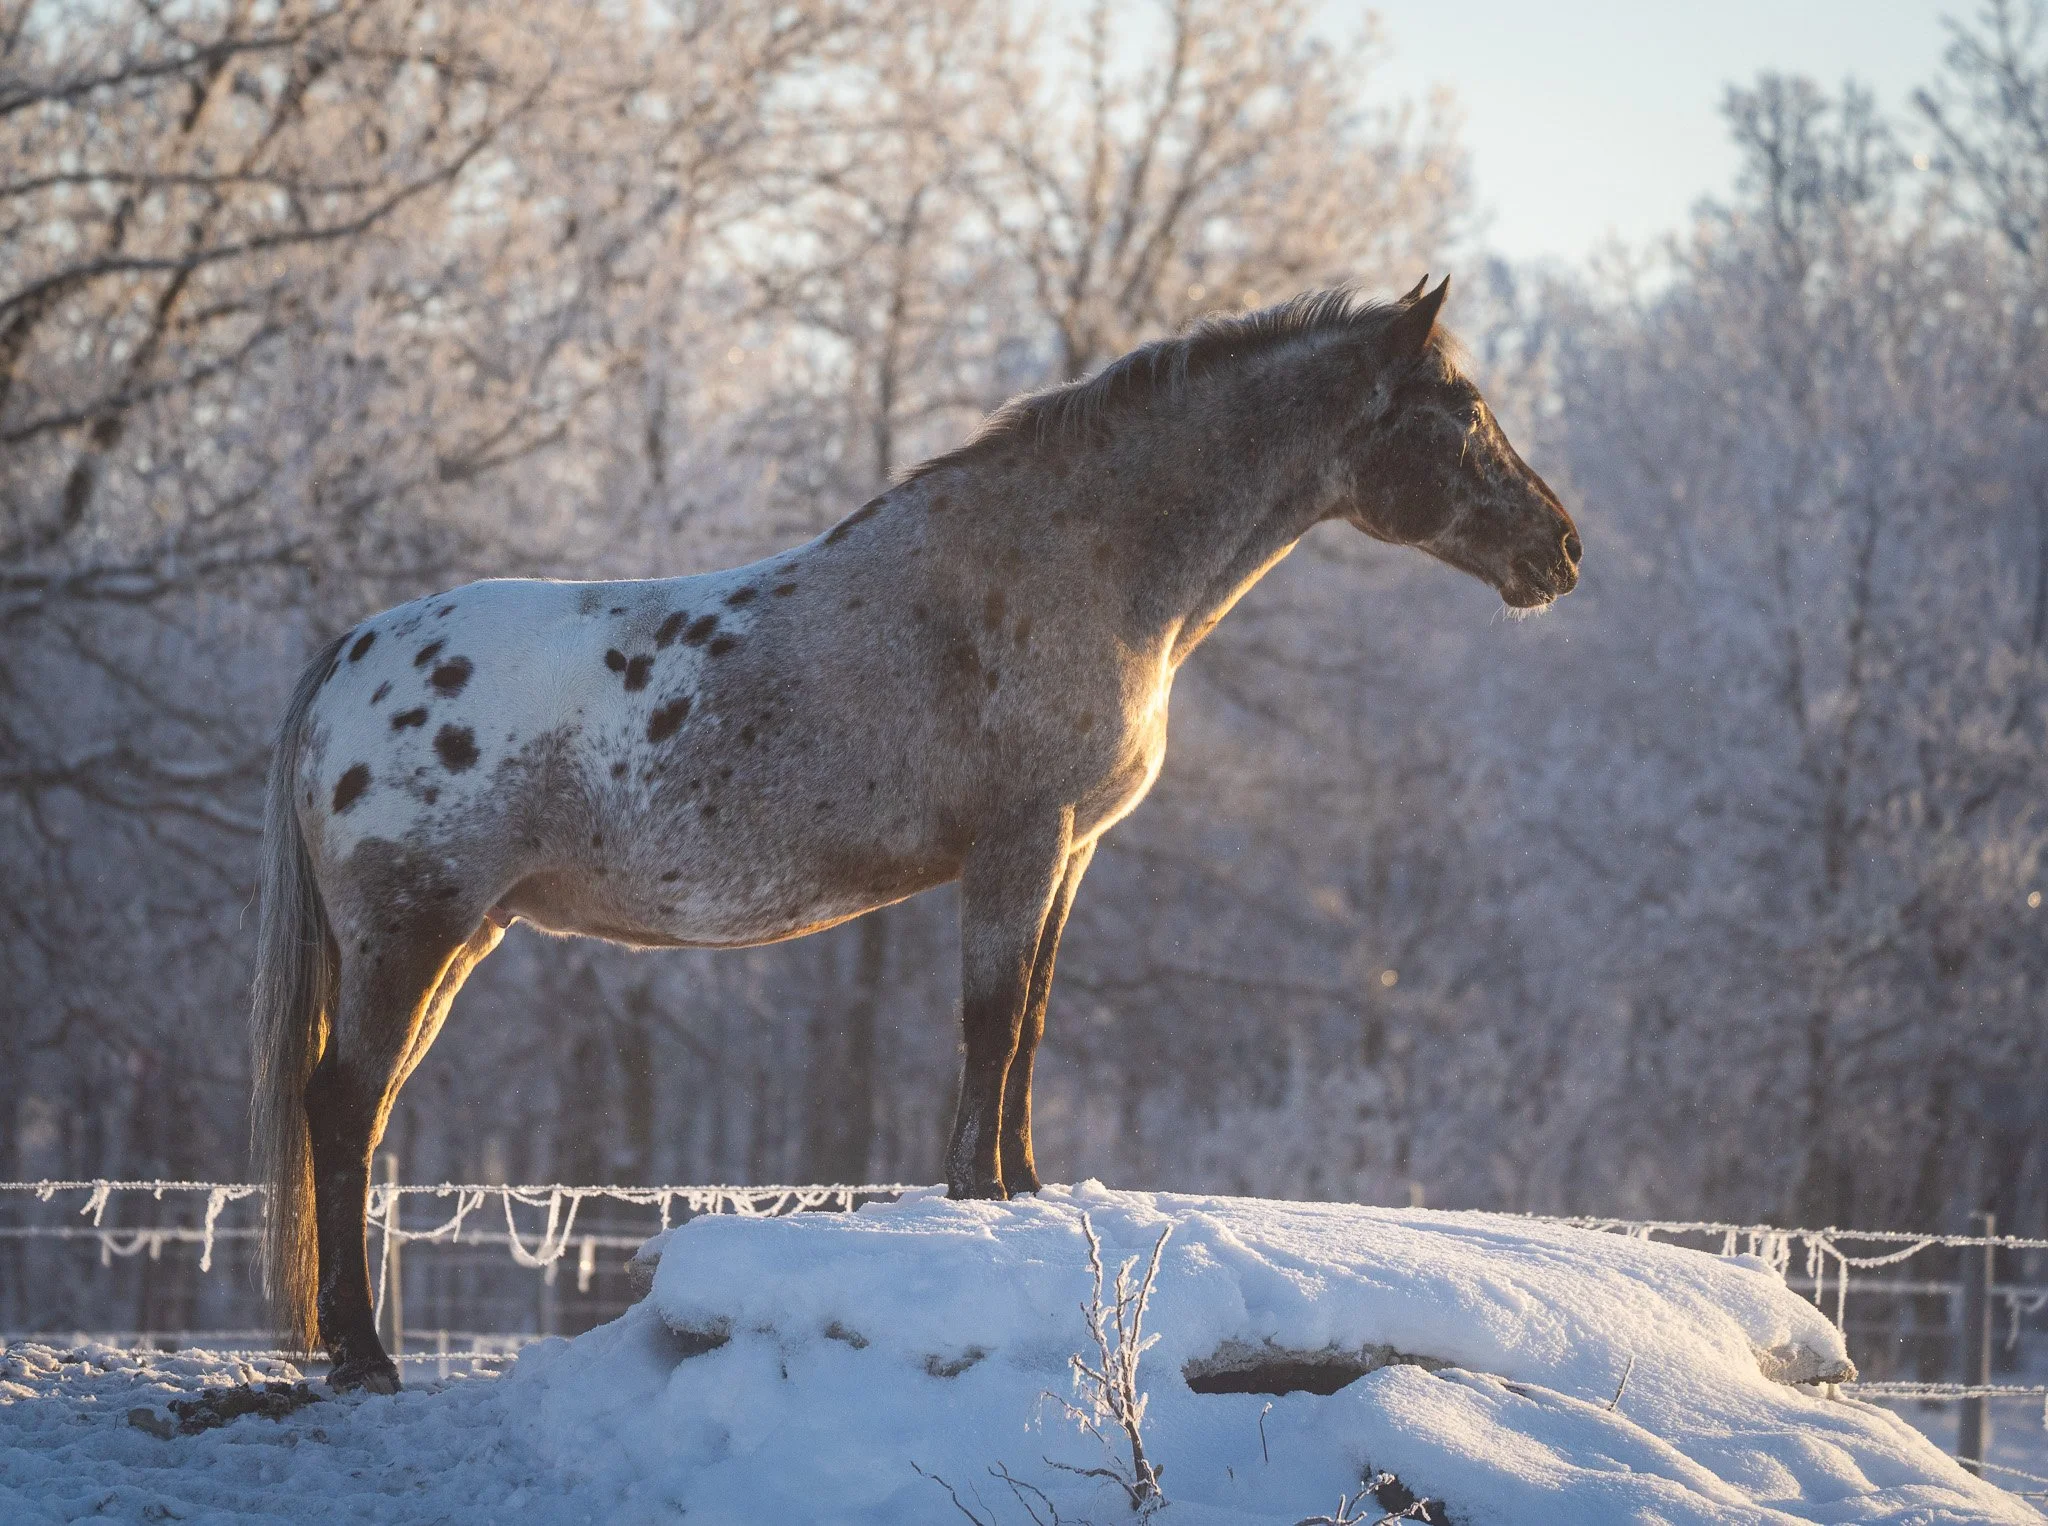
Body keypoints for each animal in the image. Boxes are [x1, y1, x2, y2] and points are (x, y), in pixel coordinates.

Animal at [250, 276, 1579, 1391]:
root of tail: (351, 653)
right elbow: (987, 1027)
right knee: (342, 1108)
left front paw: (1025, 1191)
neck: (1071, 566)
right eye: (1462, 411)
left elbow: (1026, 1026)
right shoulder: (1017, 844)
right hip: (414, 933)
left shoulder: (1067, 854)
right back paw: (365, 1357)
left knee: (357, 1110)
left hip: (456, 941)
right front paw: (977, 1198)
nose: (1559, 547)